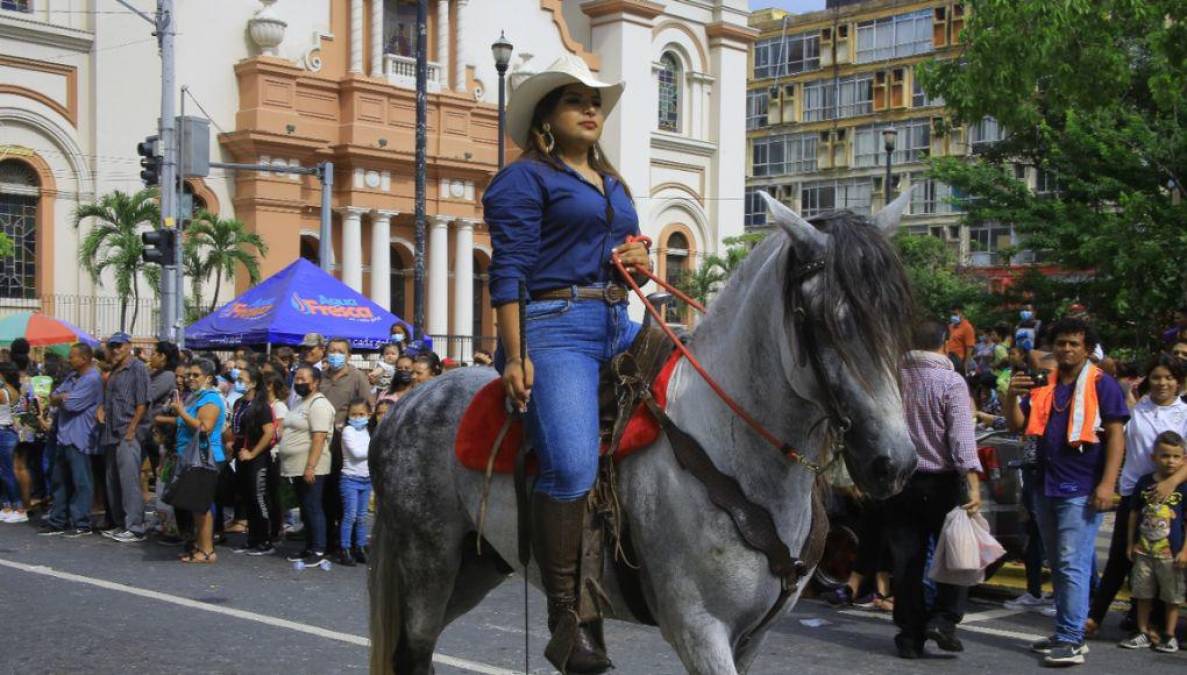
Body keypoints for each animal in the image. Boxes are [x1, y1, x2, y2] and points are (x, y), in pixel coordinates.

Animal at [367, 190, 916, 673]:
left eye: (898, 317)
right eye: (824, 322)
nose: (894, 462)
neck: (730, 450)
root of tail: (408, 402)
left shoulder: (752, 638)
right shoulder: (699, 630)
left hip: (475, 566)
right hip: (428, 564)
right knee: (412, 654)